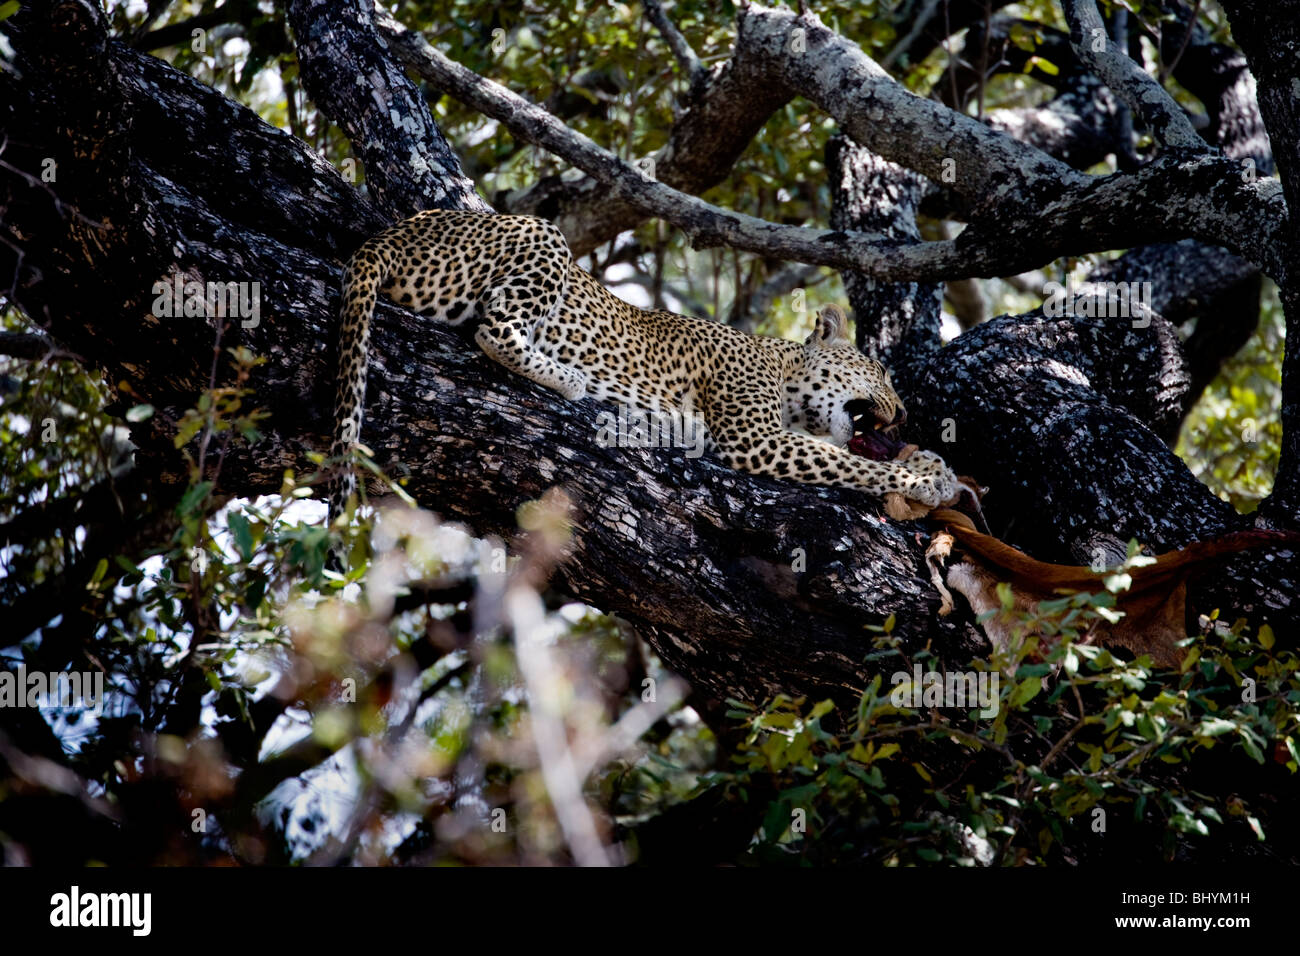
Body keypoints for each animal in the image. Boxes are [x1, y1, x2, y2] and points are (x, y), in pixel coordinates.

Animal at [325, 209, 956, 522]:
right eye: (881, 374)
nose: (903, 414)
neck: (783, 369)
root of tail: (390, 235)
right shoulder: (753, 439)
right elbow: (851, 464)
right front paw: (928, 482)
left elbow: (847, 454)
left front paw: (929, 463)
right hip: (538, 237)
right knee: (493, 328)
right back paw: (569, 379)